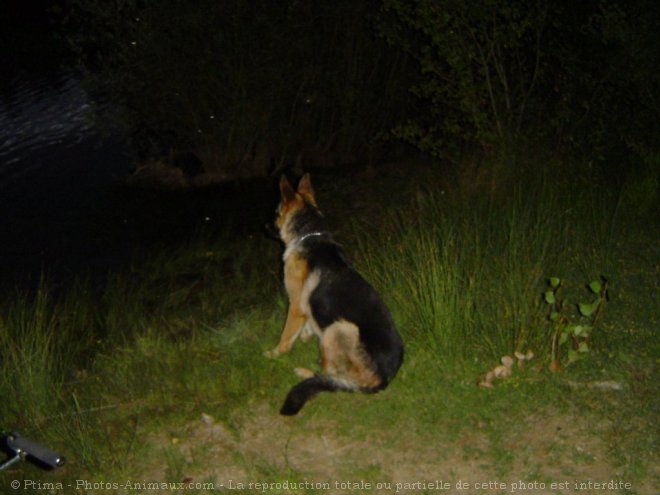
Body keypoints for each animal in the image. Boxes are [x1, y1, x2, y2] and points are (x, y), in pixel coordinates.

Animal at [266, 174, 402, 414]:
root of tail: (383, 380)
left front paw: (275, 353)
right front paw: (306, 334)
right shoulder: (305, 305)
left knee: (330, 376)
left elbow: (285, 336)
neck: (308, 236)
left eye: (276, 212)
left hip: (338, 329)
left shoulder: (295, 304)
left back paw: (306, 373)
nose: (264, 225)